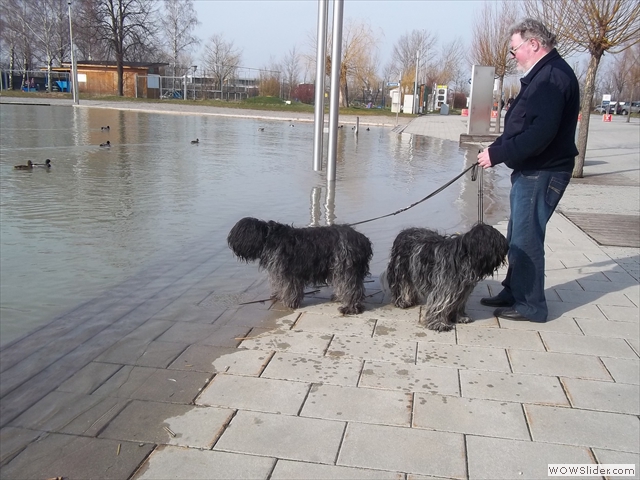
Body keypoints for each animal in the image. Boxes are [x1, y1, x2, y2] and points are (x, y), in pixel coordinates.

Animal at [228, 218, 372, 316]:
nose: (230, 243)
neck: (268, 237)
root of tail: (363, 240)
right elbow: (281, 285)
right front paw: (279, 295)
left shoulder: (288, 272)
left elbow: (290, 288)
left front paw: (289, 302)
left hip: (345, 268)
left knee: (352, 289)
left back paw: (349, 308)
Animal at [380, 223, 510, 332]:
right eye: (496, 241)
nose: (507, 246)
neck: (464, 255)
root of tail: (402, 233)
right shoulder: (444, 286)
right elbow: (440, 304)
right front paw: (439, 324)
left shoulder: (462, 289)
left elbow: (458, 303)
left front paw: (460, 317)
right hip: (400, 269)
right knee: (401, 286)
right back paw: (401, 301)